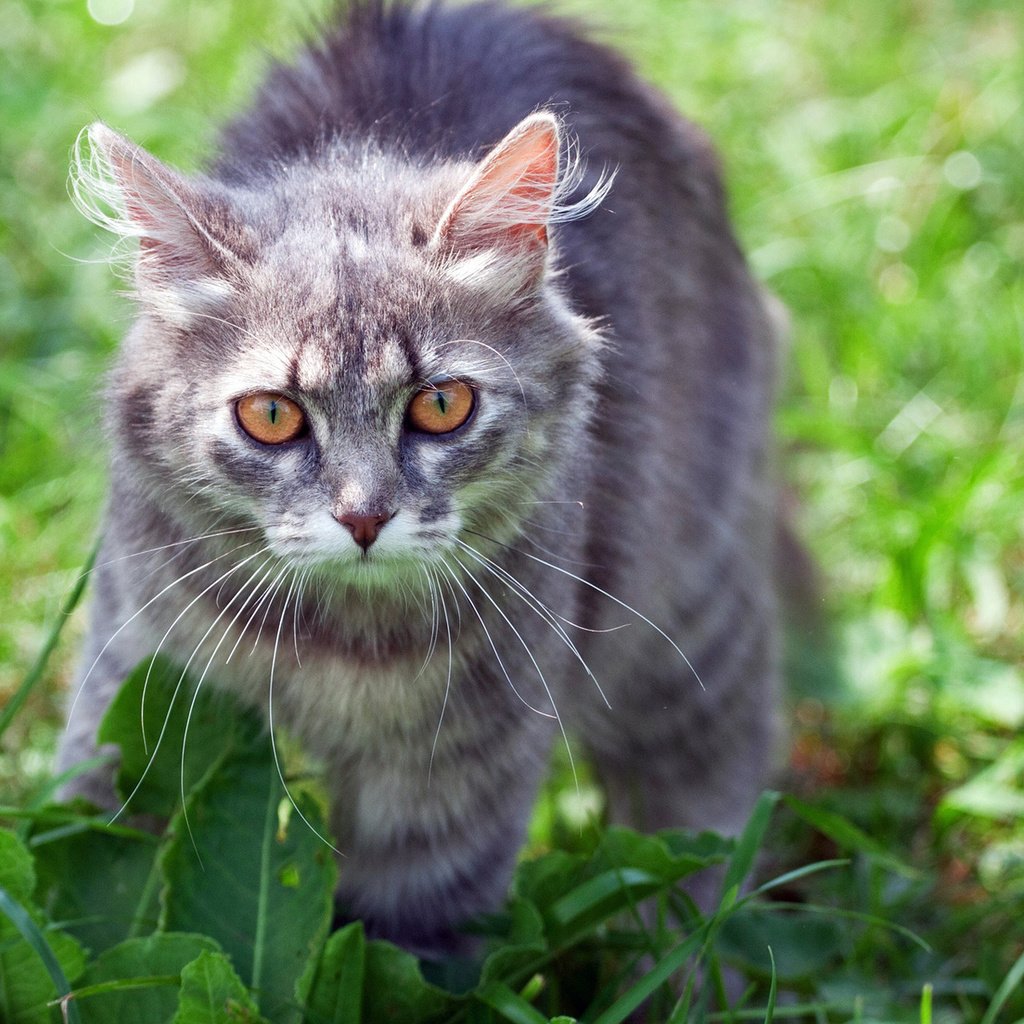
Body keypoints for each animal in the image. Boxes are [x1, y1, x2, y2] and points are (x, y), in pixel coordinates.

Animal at [61, 0, 782, 954]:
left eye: (441, 405)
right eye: (272, 416)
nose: (364, 518)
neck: (334, 643)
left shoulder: (449, 789)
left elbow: (400, 943)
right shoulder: (132, 676)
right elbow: (94, 870)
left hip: (690, 612)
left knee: (711, 807)